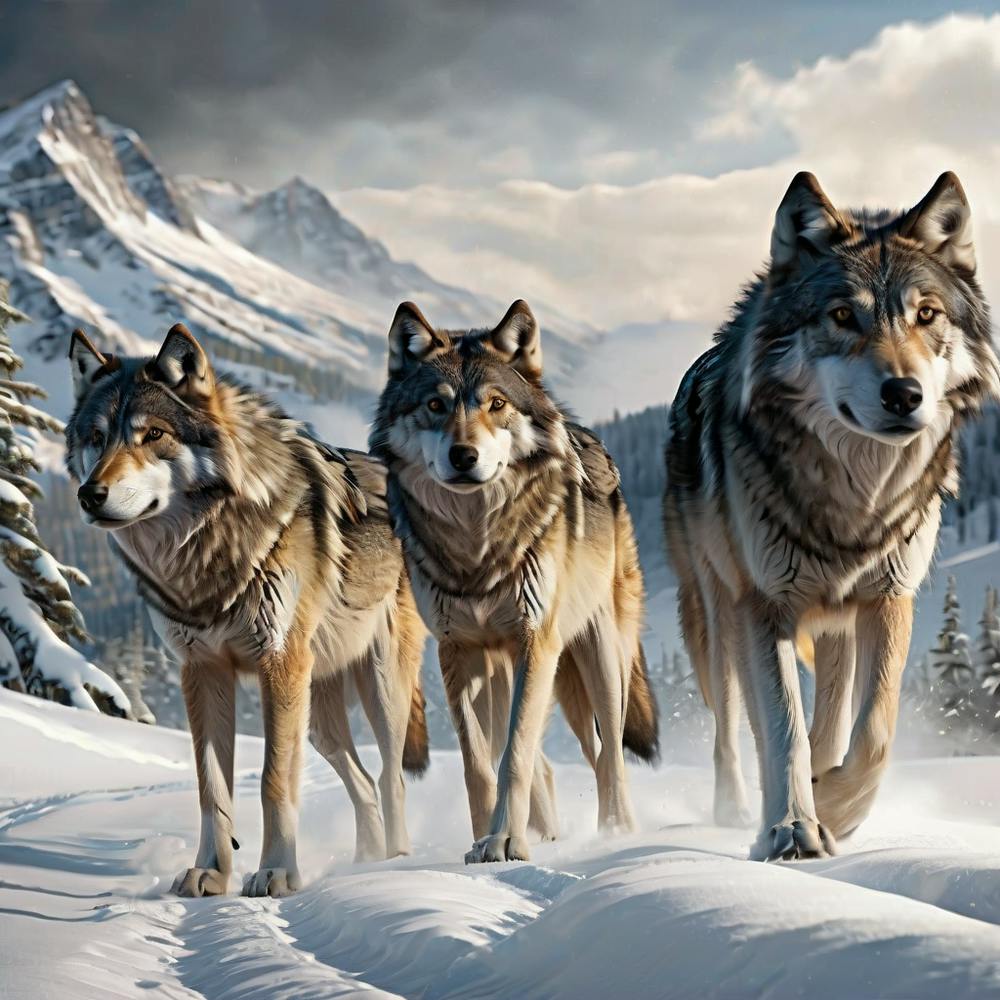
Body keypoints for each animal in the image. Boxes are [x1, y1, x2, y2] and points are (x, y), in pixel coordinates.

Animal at [65, 323, 429, 897]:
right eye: (97, 438)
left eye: (154, 435)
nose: (89, 493)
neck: (206, 552)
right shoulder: (202, 669)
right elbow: (211, 787)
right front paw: (211, 874)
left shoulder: (276, 663)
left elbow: (273, 779)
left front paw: (277, 871)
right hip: (317, 716)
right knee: (364, 782)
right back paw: (365, 861)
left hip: (381, 689)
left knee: (391, 777)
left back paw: (391, 865)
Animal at [371, 299, 658, 863]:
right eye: (436, 405)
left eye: (496, 403)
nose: (464, 456)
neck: (477, 543)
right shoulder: (457, 651)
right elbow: (478, 763)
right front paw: (484, 839)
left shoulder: (535, 642)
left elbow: (515, 754)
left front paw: (505, 840)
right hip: (504, 671)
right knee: (557, 757)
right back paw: (552, 834)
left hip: (597, 656)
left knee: (608, 753)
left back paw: (616, 832)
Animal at [664, 172, 1000, 861]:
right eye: (844, 316)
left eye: (926, 315)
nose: (904, 394)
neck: (854, 501)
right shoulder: (763, 606)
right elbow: (782, 728)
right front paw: (792, 828)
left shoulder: (888, 598)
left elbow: (873, 730)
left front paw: (836, 808)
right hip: (716, 612)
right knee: (731, 723)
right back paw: (737, 808)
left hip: (833, 623)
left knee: (833, 711)